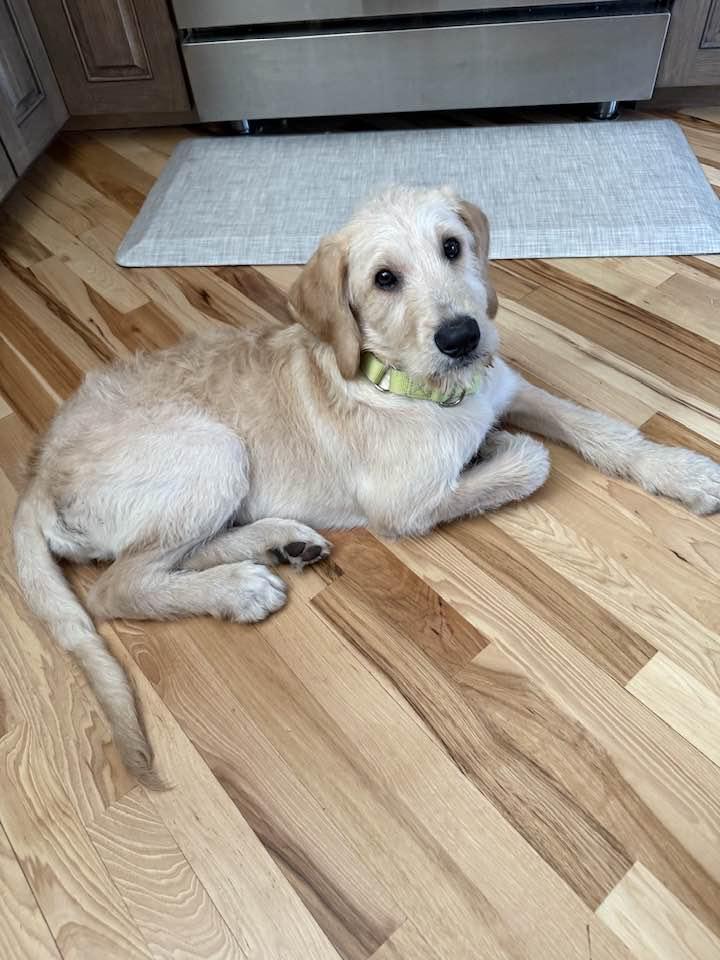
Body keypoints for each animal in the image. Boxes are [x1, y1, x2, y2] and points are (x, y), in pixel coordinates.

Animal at [14, 186, 720, 784]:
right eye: (385, 279)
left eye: (453, 247)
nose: (462, 336)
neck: (417, 386)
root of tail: (36, 472)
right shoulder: (407, 506)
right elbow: (530, 462)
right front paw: (498, 447)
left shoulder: (510, 388)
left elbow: (600, 429)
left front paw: (681, 471)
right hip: (210, 451)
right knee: (118, 587)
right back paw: (238, 589)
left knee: (175, 556)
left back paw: (278, 544)